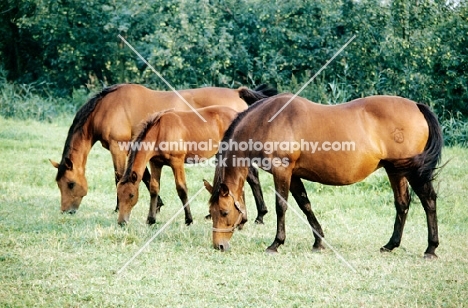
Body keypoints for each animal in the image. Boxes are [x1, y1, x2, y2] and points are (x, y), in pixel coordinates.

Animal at [48, 84, 274, 218]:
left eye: (70, 184)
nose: (66, 211)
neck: (107, 107)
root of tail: (236, 93)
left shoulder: (118, 148)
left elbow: (119, 176)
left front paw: (118, 207)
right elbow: (146, 178)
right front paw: (156, 206)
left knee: (251, 177)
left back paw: (259, 214)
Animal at [205, 93, 442, 258]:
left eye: (224, 212)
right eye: (211, 212)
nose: (219, 246)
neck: (267, 120)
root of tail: (417, 106)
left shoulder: (282, 171)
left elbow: (281, 206)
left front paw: (276, 243)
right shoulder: (294, 175)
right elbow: (305, 205)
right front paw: (318, 241)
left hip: (412, 171)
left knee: (428, 201)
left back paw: (431, 248)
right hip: (395, 170)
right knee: (402, 204)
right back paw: (391, 245)